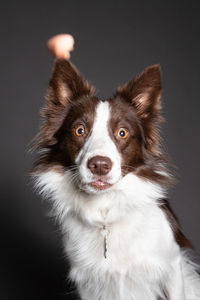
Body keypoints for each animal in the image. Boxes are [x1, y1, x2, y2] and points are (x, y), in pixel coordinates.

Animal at [32, 59, 200, 300]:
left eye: (122, 133)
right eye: (80, 130)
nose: (99, 165)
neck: (106, 211)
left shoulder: (172, 267)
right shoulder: (88, 282)